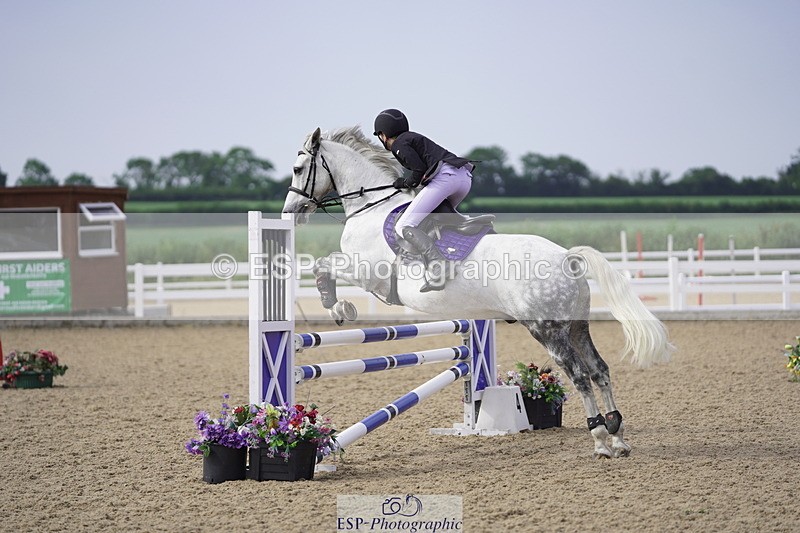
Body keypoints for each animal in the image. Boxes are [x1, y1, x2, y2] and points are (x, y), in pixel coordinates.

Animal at [282, 126, 674, 459]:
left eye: (298, 168)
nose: (290, 213)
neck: (371, 209)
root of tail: (567, 257)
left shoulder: (368, 274)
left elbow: (323, 265)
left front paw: (338, 307)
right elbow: (324, 264)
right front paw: (338, 306)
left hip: (547, 330)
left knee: (579, 376)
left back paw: (600, 441)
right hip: (577, 327)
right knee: (599, 370)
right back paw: (618, 437)